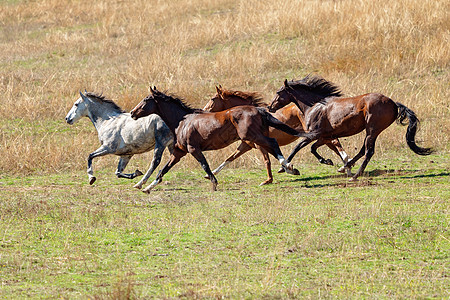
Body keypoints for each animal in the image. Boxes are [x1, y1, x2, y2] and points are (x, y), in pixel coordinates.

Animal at [129, 86, 312, 192]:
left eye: (146, 100)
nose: (132, 113)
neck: (182, 121)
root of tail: (258, 110)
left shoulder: (193, 149)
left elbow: (205, 165)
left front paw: (214, 183)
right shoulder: (179, 152)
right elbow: (163, 169)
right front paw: (147, 187)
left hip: (252, 136)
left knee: (273, 144)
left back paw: (289, 167)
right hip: (253, 138)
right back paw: (289, 168)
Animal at [202, 85, 354, 185]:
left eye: (212, 98)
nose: (203, 110)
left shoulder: (259, 144)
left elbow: (267, 160)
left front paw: (270, 179)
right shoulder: (247, 144)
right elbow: (230, 158)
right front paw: (211, 174)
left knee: (334, 143)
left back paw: (345, 166)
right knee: (333, 145)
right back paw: (344, 167)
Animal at [268, 76, 432, 182]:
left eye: (278, 92)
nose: (270, 107)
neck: (314, 106)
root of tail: (393, 103)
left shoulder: (313, 134)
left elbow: (297, 147)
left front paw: (286, 168)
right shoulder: (325, 136)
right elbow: (313, 149)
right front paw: (327, 161)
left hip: (372, 130)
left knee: (368, 152)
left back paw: (354, 175)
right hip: (371, 132)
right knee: (363, 150)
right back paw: (345, 167)